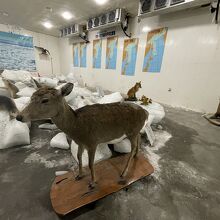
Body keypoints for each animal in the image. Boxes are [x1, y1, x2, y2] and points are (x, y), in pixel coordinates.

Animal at [16, 83, 148, 188]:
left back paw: (123, 173)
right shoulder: (80, 143)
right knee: (139, 140)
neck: (77, 127)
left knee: (132, 148)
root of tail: (146, 112)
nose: (19, 116)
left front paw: (92, 183)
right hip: (136, 131)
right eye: (31, 97)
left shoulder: (92, 141)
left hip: (132, 131)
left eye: (45, 100)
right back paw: (136, 156)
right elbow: (79, 158)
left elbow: (90, 163)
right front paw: (79, 175)